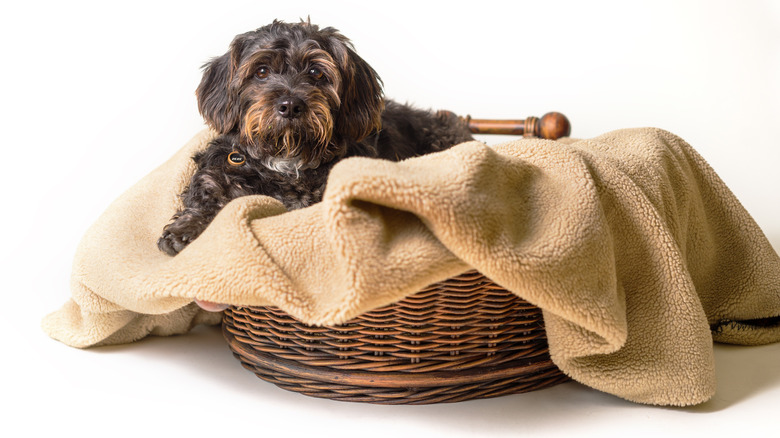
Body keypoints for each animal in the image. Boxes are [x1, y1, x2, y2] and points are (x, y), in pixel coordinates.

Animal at [158, 18, 472, 255]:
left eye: (316, 72)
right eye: (261, 71)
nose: (290, 105)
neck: (284, 160)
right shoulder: (217, 172)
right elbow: (207, 193)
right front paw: (185, 230)